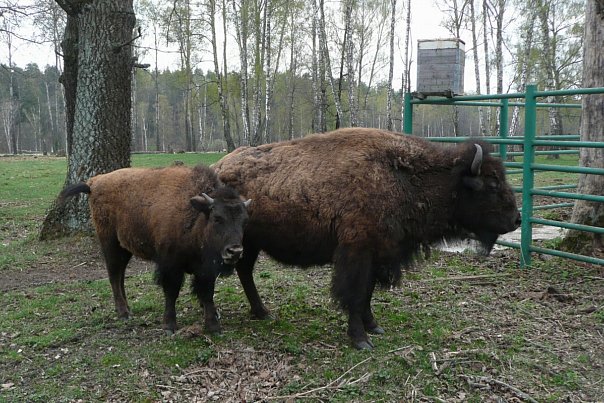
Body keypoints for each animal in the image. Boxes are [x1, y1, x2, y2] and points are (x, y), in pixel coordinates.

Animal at [60, 164, 251, 334]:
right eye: (217, 218)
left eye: (244, 221)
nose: (235, 251)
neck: (195, 215)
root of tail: (94, 183)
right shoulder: (170, 265)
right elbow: (172, 292)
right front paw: (169, 326)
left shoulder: (205, 269)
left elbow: (207, 293)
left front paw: (213, 327)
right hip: (110, 243)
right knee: (114, 275)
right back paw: (123, 313)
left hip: (125, 248)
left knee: (120, 275)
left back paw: (128, 309)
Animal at [214, 128, 520, 349]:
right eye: (492, 184)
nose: (516, 219)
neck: (402, 178)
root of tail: (219, 166)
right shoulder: (357, 253)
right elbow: (355, 293)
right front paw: (360, 339)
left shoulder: (378, 254)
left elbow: (367, 294)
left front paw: (373, 325)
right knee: (242, 270)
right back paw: (259, 311)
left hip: (251, 244)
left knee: (245, 270)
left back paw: (262, 312)